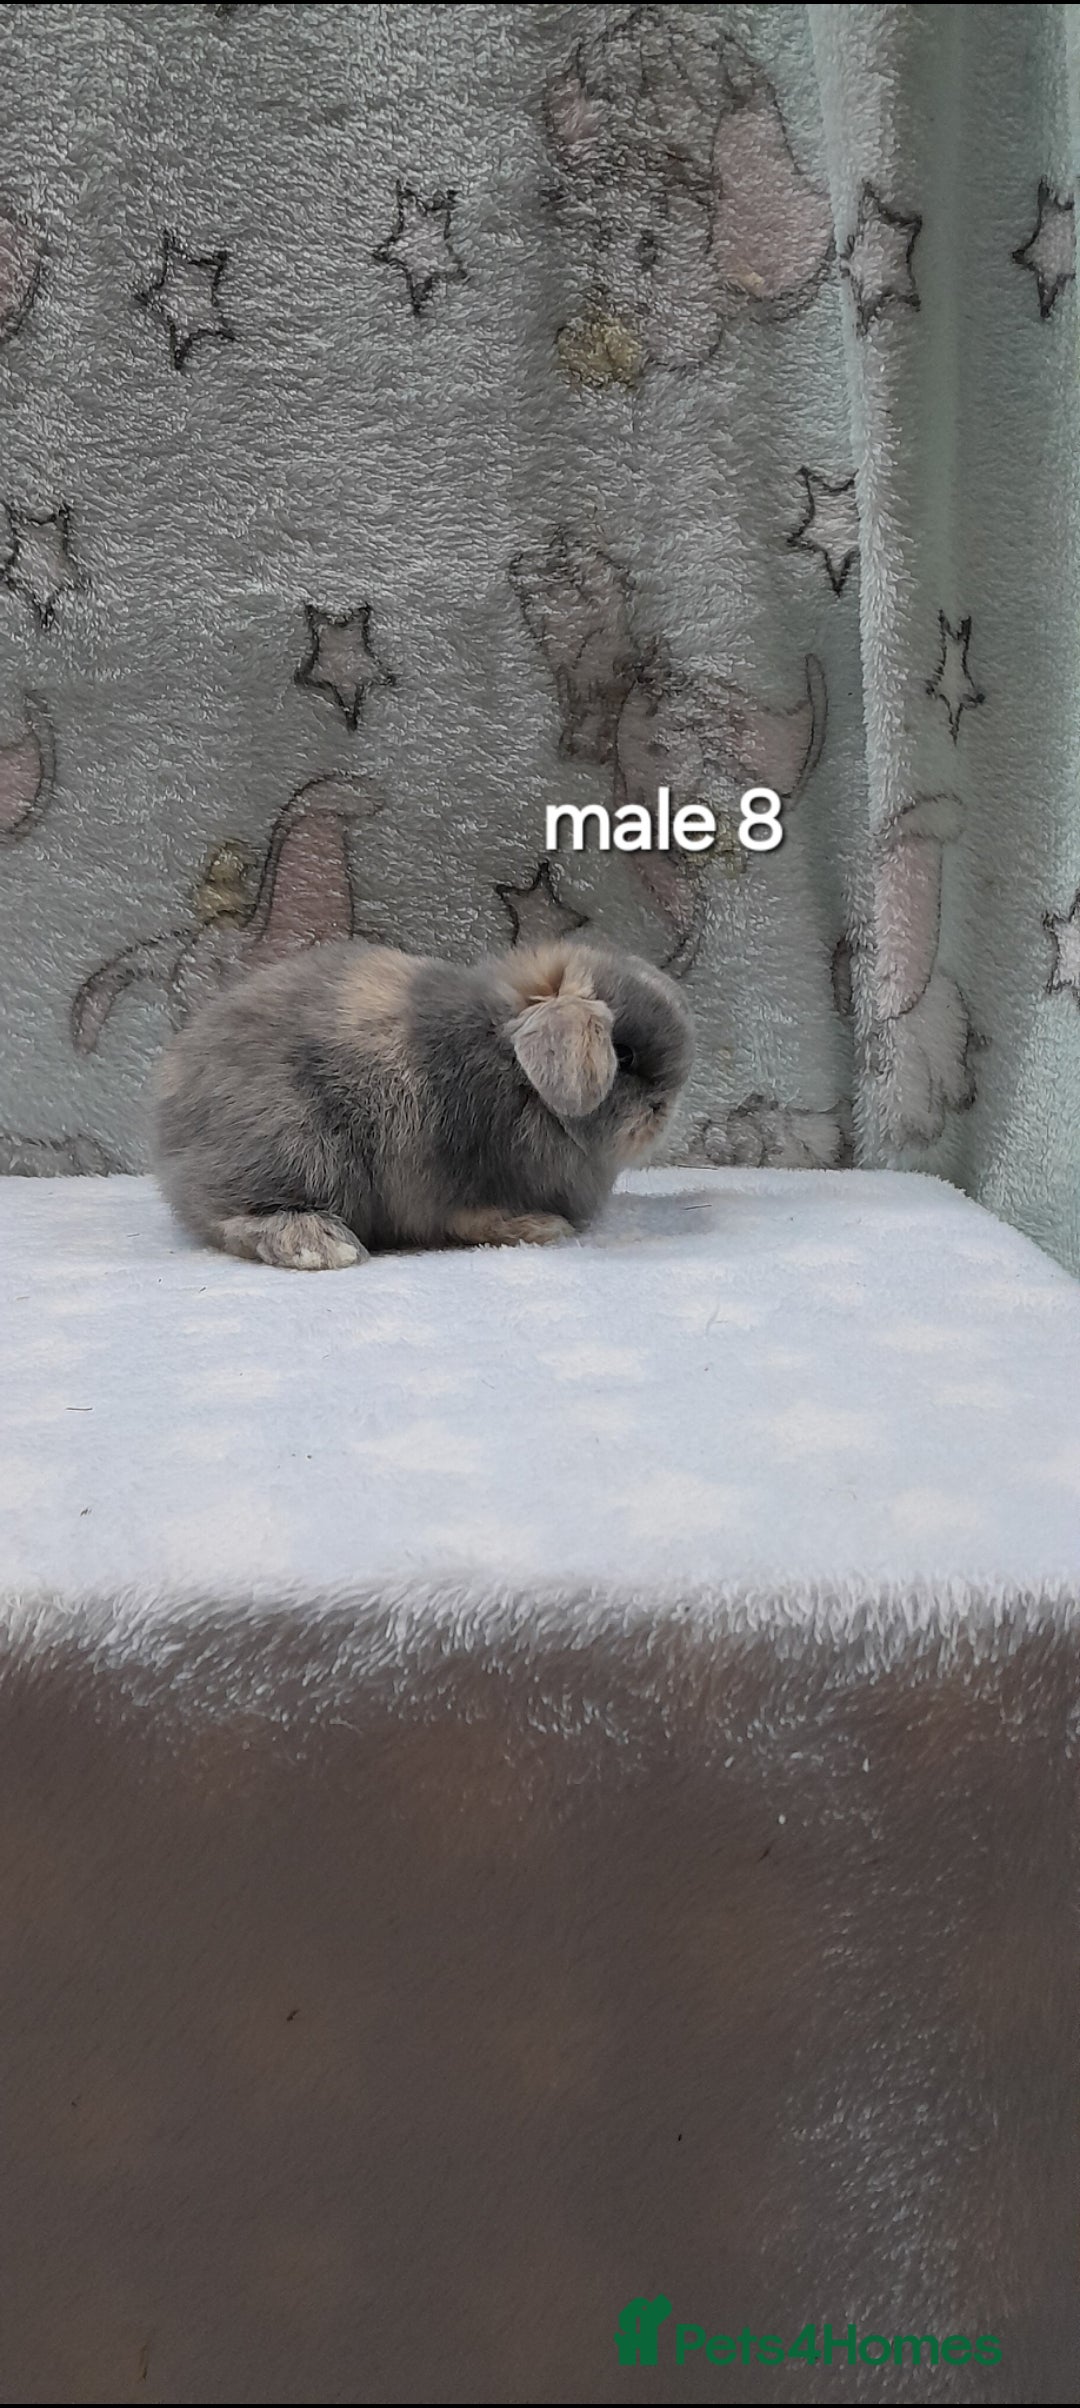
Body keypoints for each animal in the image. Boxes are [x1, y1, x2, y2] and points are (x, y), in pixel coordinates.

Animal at [152, 936, 694, 1268]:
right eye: (623, 1055)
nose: (663, 1111)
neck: (518, 1076)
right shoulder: (448, 1184)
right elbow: (471, 1217)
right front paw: (542, 1227)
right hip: (299, 1151)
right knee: (230, 1219)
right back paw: (323, 1245)